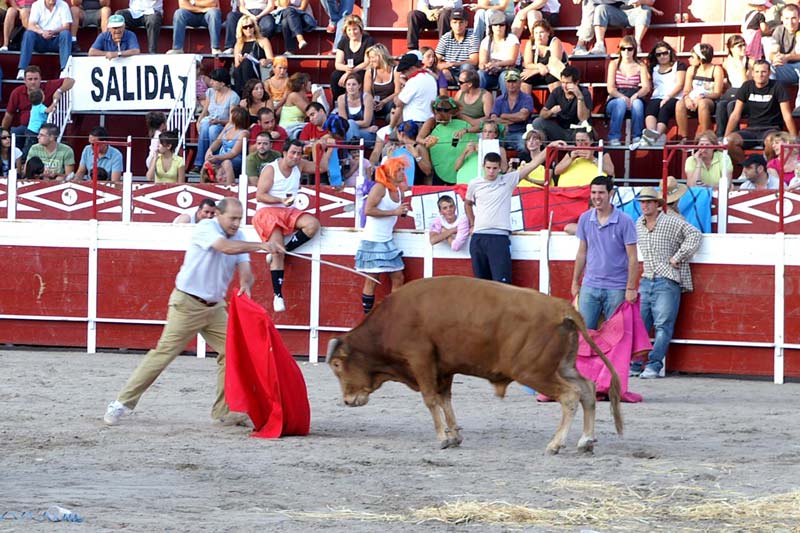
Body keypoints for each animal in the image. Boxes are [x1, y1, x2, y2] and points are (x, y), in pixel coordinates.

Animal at [327, 276, 623, 454]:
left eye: (337, 365)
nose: (347, 400)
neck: (392, 319)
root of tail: (564, 309)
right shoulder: (444, 369)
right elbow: (445, 400)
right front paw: (454, 436)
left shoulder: (420, 359)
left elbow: (430, 399)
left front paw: (442, 438)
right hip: (562, 367)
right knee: (587, 389)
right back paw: (585, 441)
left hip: (533, 372)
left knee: (570, 395)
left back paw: (555, 443)